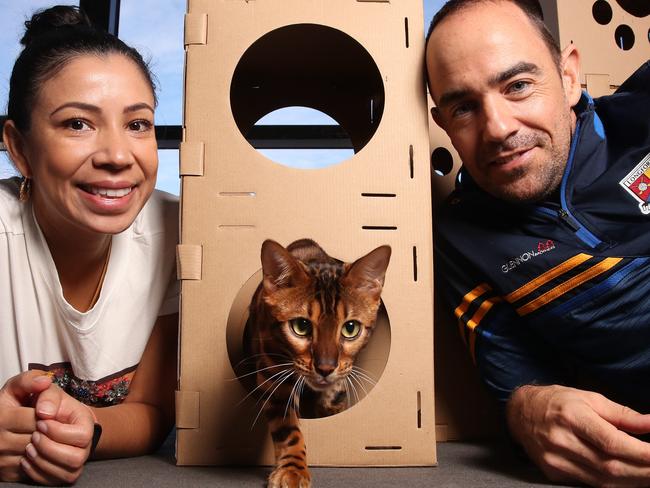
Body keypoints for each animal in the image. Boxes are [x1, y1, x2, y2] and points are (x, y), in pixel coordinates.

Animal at [240, 238, 388, 486]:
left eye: (351, 328)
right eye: (301, 326)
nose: (325, 368)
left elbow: (335, 390)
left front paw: (332, 402)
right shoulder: (273, 375)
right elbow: (288, 428)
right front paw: (293, 471)